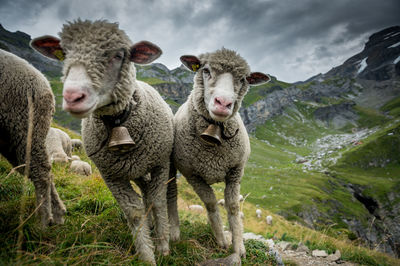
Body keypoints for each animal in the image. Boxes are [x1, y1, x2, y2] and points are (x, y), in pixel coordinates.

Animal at [30, 19, 173, 264]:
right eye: (64, 53)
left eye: (118, 55)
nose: (72, 96)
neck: (118, 122)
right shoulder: (110, 174)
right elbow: (134, 212)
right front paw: (146, 253)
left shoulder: (160, 163)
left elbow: (158, 201)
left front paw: (163, 247)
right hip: (135, 171)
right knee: (144, 195)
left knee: (152, 197)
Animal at [170, 48, 272, 258]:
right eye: (206, 70)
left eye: (242, 79)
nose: (223, 102)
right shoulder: (192, 175)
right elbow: (210, 204)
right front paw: (222, 240)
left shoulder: (235, 172)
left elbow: (233, 207)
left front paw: (239, 247)